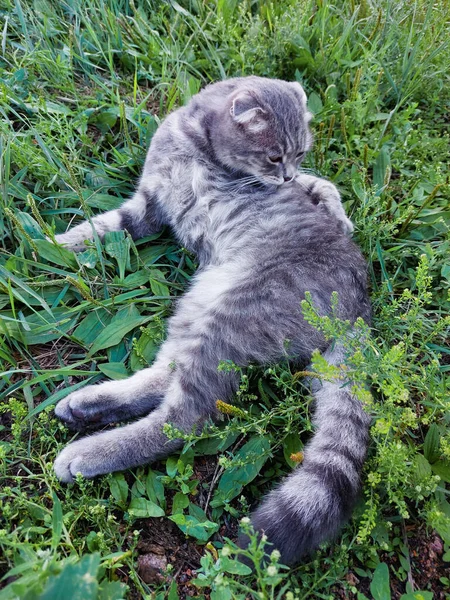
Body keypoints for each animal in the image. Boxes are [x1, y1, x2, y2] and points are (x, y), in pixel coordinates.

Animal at [52, 77, 370, 564]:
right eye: (275, 157)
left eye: (298, 155)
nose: (287, 178)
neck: (195, 144)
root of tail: (359, 300)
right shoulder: (149, 203)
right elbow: (105, 226)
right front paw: (57, 243)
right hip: (197, 304)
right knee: (165, 374)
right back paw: (89, 405)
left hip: (232, 313)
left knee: (183, 420)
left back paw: (89, 452)